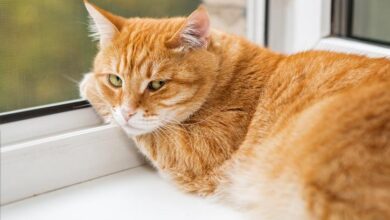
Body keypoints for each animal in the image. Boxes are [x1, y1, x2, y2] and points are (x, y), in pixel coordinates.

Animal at [81, 1, 390, 218]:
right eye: (115, 80)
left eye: (157, 84)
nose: (126, 112)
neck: (225, 76)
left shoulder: (193, 152)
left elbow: (152, 137)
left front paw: (88, 86)